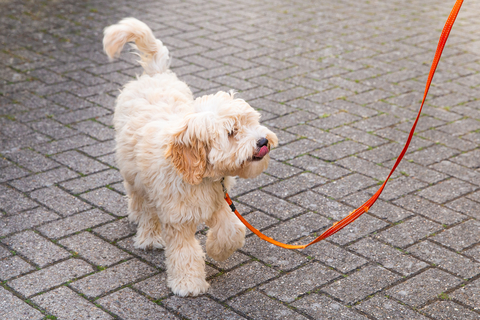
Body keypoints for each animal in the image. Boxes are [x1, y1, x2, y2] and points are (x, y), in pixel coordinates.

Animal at [103, 18, 280, 298]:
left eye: (252, 122)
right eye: (232, 132)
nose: (263, 142)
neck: (201, 176)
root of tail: (155, 74)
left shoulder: (218, 202)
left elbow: (232, 229)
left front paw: (218, 250)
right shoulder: (177, 218)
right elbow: (184, 252)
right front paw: (188, 284)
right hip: (135, 174)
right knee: (142, 202)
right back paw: (148, 234)